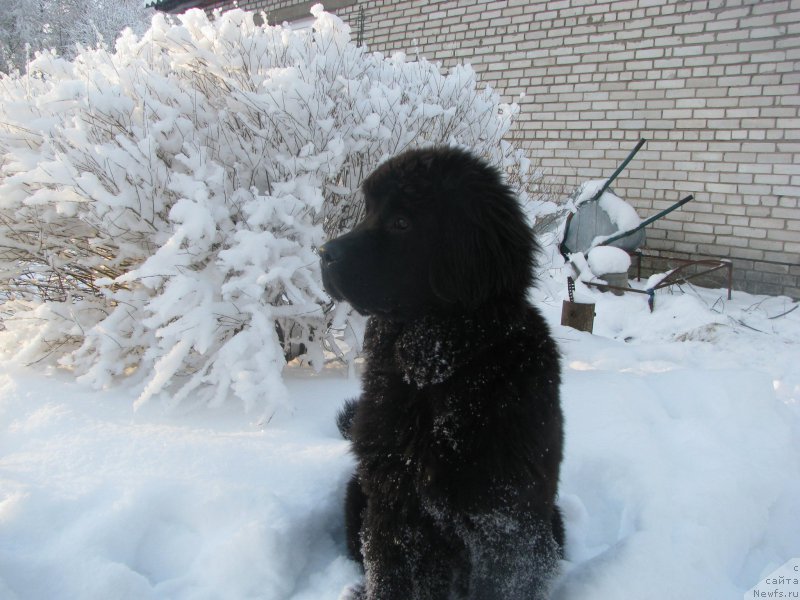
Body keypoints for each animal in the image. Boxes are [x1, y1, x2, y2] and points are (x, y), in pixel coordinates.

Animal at [318, 146, 564, 600]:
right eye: (368, 211)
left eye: (401, 222)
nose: (323, 253)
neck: (435, 378)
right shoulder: (392, 503)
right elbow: (389, 578)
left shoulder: (505, 523)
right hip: (358, 496)